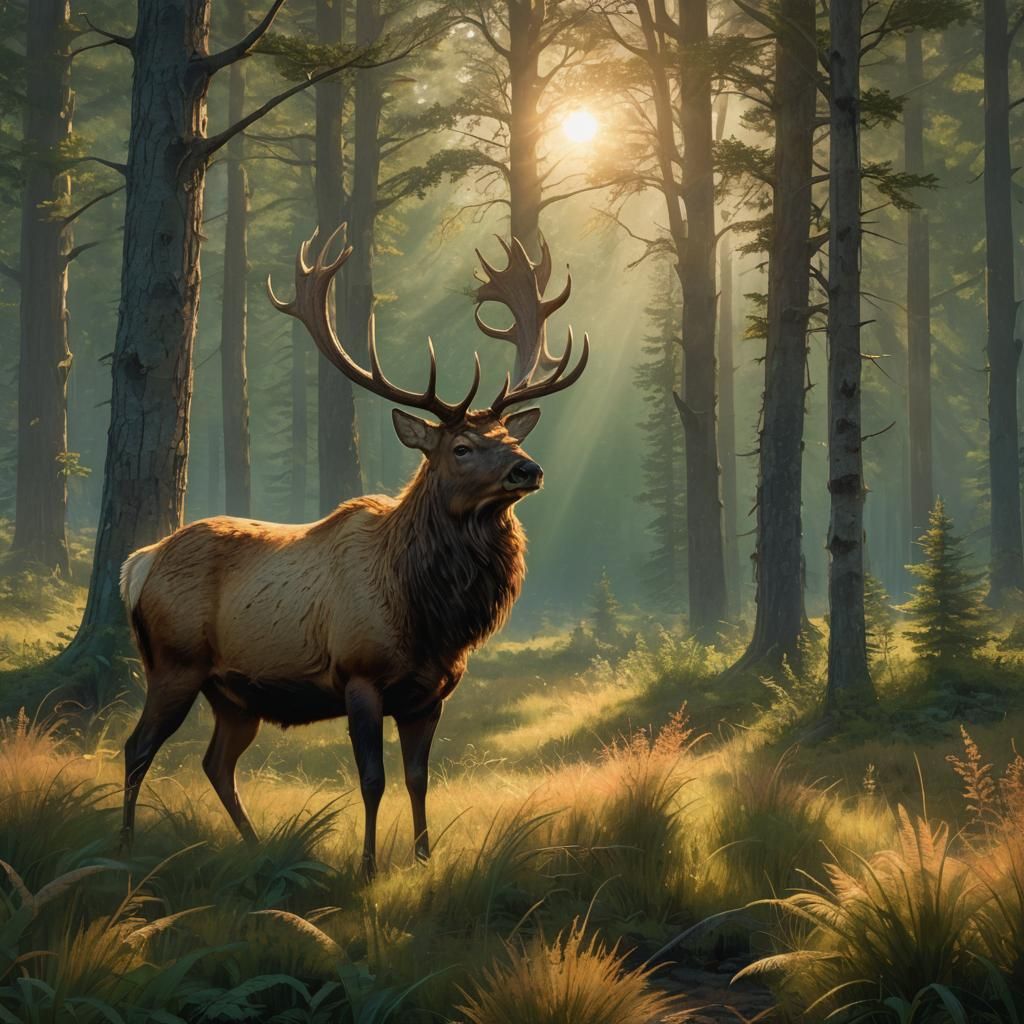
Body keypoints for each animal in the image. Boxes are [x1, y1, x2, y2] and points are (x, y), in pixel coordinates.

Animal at [117, 225, 588, 878]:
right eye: (462, 447)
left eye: (508, 437)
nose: (530, 468)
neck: (431, 616)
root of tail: (139, 563)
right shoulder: (360, 675)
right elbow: (372, 779)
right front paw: (367, 867)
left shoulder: (429, 695)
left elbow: (418, 779)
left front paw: (424, 859)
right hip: (173, 662)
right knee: (136, 748)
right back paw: (125, 847)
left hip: (233, 692)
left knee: (217, 763)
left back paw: (254, 845)